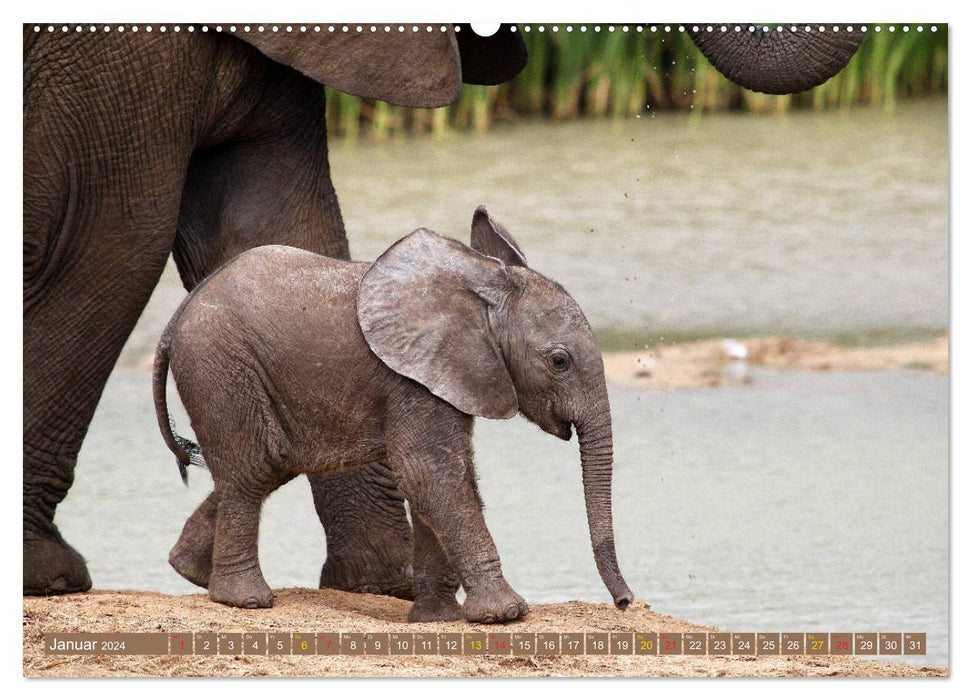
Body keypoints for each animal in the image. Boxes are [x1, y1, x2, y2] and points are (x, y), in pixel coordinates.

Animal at [155, 205, 636, 620]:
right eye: (559, 362)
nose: (625, 602)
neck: (480, 291)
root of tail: (175, 318)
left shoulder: (443, 378)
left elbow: (446, 477)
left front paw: (437, 619)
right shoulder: (413, 379)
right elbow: (430, 474)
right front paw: (505, 614)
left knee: (270, 465)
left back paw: (189, 569)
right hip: (221, 367)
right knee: (251, 471)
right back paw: (245, 601)